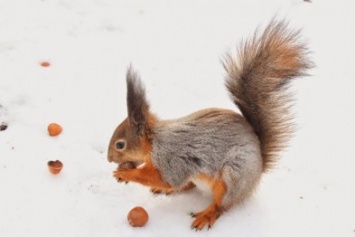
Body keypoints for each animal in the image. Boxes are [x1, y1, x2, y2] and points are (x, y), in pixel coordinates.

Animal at [107, 19, 312, 231]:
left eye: (120, 144)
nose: (109, 159)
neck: (153, 142)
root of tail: (258, 170)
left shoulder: (171, 158)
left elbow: (166, 179)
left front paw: (126, 174)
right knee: (189, 185)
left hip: (233, 176)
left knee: (221, 205)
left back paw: (207, 214)